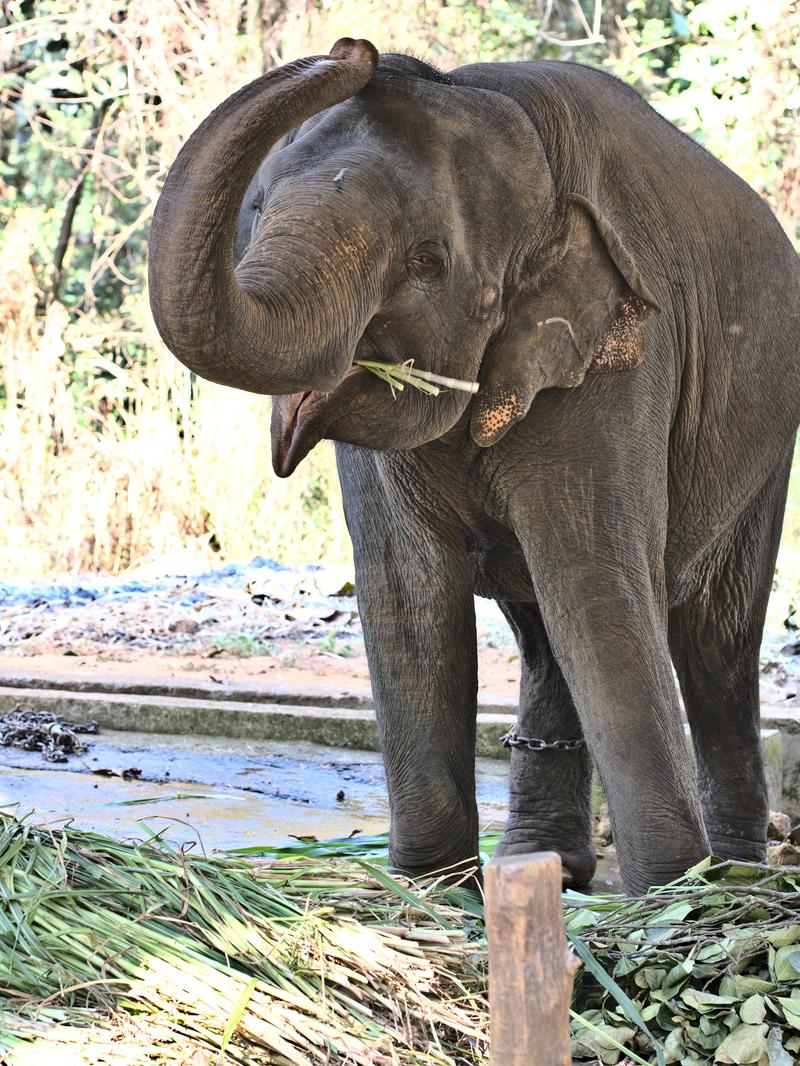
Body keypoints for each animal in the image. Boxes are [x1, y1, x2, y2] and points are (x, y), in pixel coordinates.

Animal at [150, 37, 800, 895]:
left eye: (427, 260)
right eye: (254, 215)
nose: (360, 50)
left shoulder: (618, 360)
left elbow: (596, 579)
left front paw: (668, 895)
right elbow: (408, 590)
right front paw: (432, 888)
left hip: (768, 435)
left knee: (714, 639)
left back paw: (731, 881)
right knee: (543, 634)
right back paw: (543, 864)